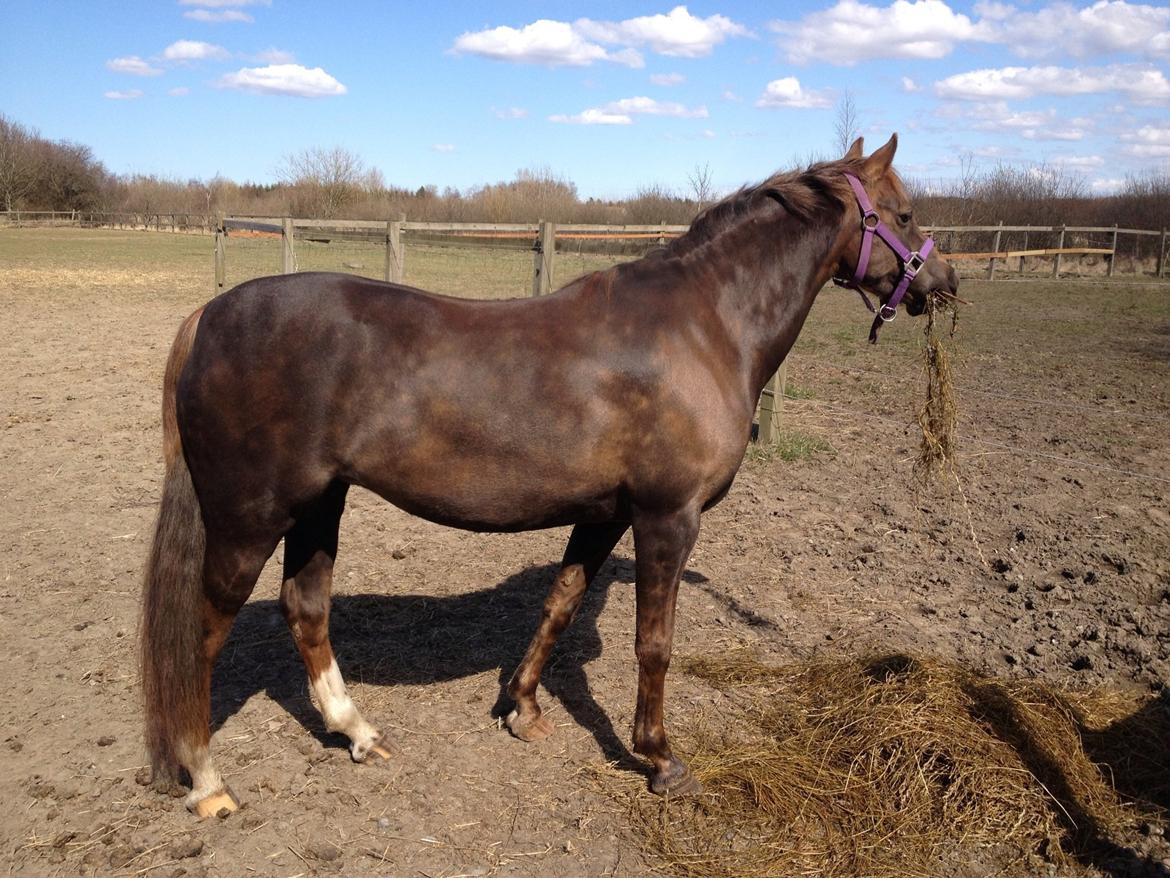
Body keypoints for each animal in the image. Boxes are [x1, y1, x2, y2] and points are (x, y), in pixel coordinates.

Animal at [141, 134, 958, 817]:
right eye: (904, 212)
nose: (943, 281)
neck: (704, 326)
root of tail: (209, 316)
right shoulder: (668, 516)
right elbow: (654, 644)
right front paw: (661, 760)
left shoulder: (604, 513)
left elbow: (560, 603)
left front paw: (523, 710)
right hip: (249, 518)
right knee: (202, 635)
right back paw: (207, 782)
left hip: (319, 504)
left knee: (305, 609)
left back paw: (359, 734)